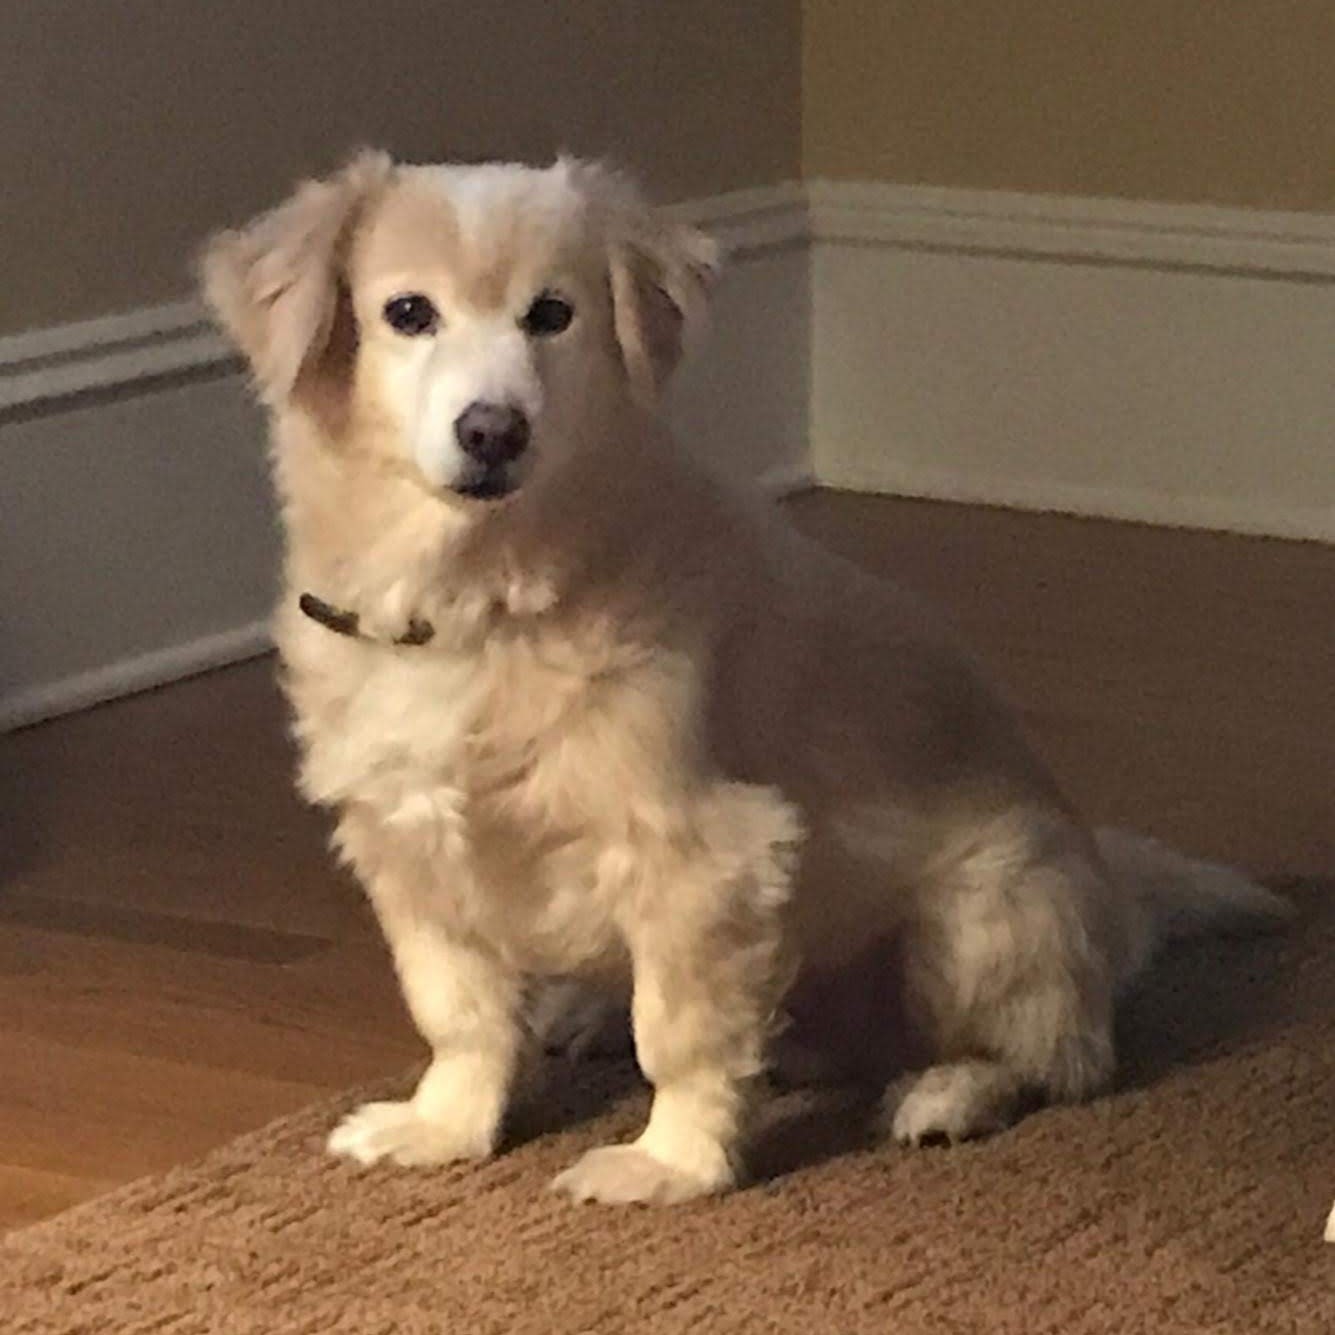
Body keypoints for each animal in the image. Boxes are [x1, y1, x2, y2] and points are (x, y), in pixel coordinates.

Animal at [200, 151, 1292, 1206]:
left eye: (552, 315)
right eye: (407, 313)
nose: (493, 430)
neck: (483, 587)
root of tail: (1110, 906)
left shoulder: (702, 849)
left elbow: (680, 1032)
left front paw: (672, 1164)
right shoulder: (408, 840)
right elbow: (458, 1009)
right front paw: (444, 1127)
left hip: (984, 918)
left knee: (1058, 1057)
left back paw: (948, 1090)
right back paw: (589, 1013)